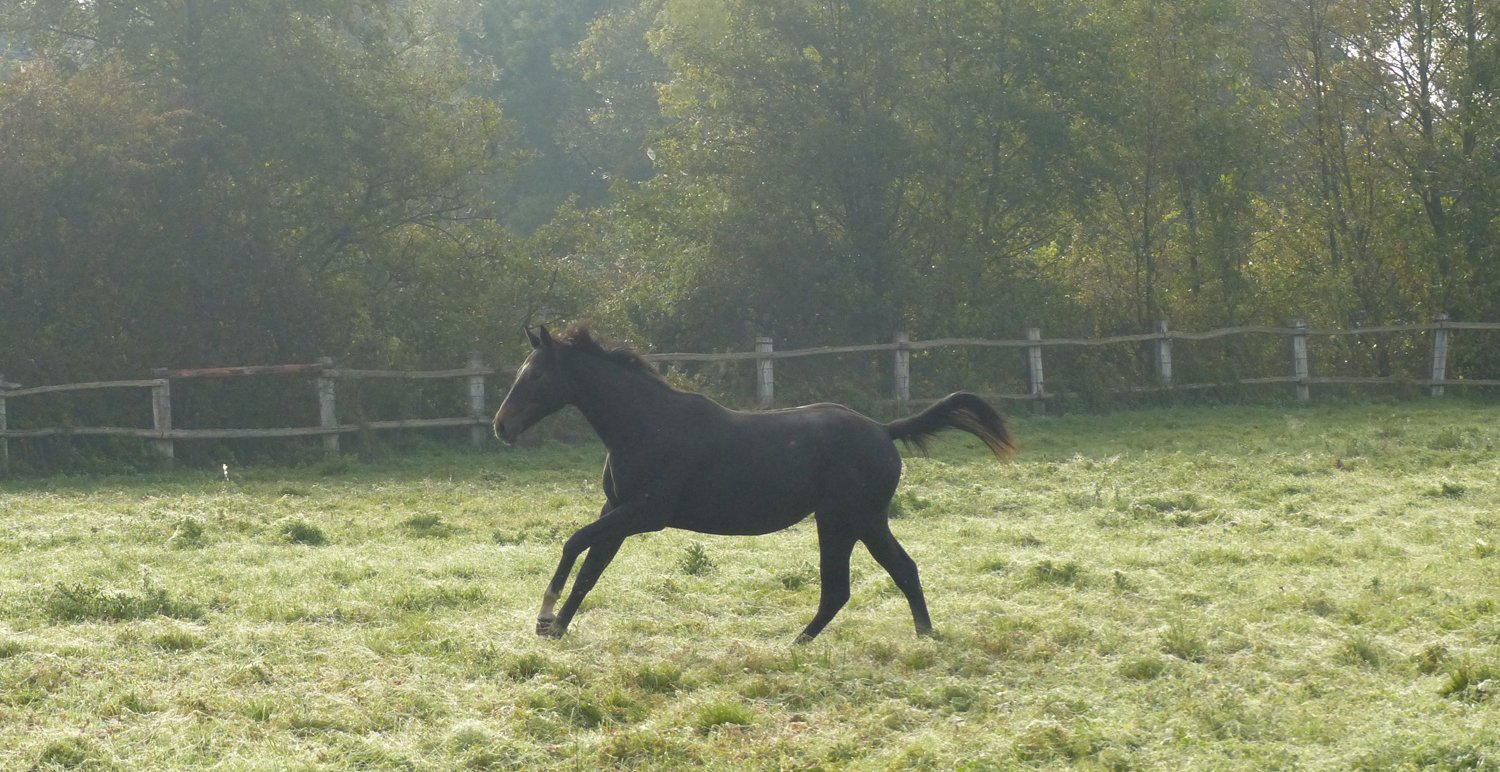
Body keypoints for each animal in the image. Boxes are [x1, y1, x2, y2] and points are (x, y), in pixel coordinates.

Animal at [492, 322, 1015, 643]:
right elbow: (589, 569)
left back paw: (799, 643)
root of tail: (885, 430)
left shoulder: (645, 513)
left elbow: (572, 543)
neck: (646, 425)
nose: (501, 426)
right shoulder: (617, 512)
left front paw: (544, 616)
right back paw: (920, 637)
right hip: (863, 522)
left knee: (844, 586)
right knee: (898, 571)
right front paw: (555, 628)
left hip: (844, 521)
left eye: (536, 376)